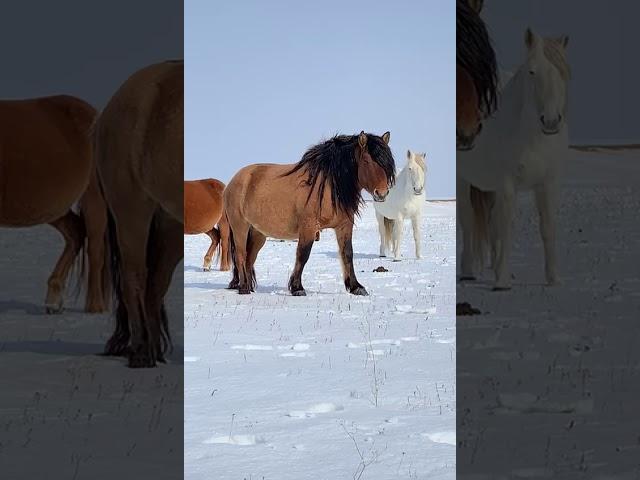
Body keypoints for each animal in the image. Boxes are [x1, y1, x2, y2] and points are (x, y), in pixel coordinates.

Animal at [0, 95, 110, 314]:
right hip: (54, 209)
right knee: (75, 232)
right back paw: (53, 299)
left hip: (93, 197)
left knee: (95, 249)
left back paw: (95, 306)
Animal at [96, 60, 184, 368]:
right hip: (131, 211)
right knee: (133, 276)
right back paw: (141, 352)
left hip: (170, 223)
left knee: (155, 283)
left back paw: (154, 350)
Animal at [225, 131, 396, 296]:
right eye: (366, 161)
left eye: (386, 163)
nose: (381, 193)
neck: (329, 185)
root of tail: (234, 180)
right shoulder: (309, 227)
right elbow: (303, 254)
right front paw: (297, 288)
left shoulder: (344, 226)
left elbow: (347, 253)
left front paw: (356, 287)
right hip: (240, 227)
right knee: (240, 255)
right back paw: (244, 288)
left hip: (258, 233)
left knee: (249, 258)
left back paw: (248, 286)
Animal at [458, 29, 572, 288]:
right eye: (532, 71)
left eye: (563, 72)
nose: (551, 121)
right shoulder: (507, 185)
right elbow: (506, 226)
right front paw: (501, 281)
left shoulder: (548, 184)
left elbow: (547, 227)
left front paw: (553, 277)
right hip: (464, 180)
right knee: (468, 221)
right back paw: (468, 271)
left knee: (490, 222)